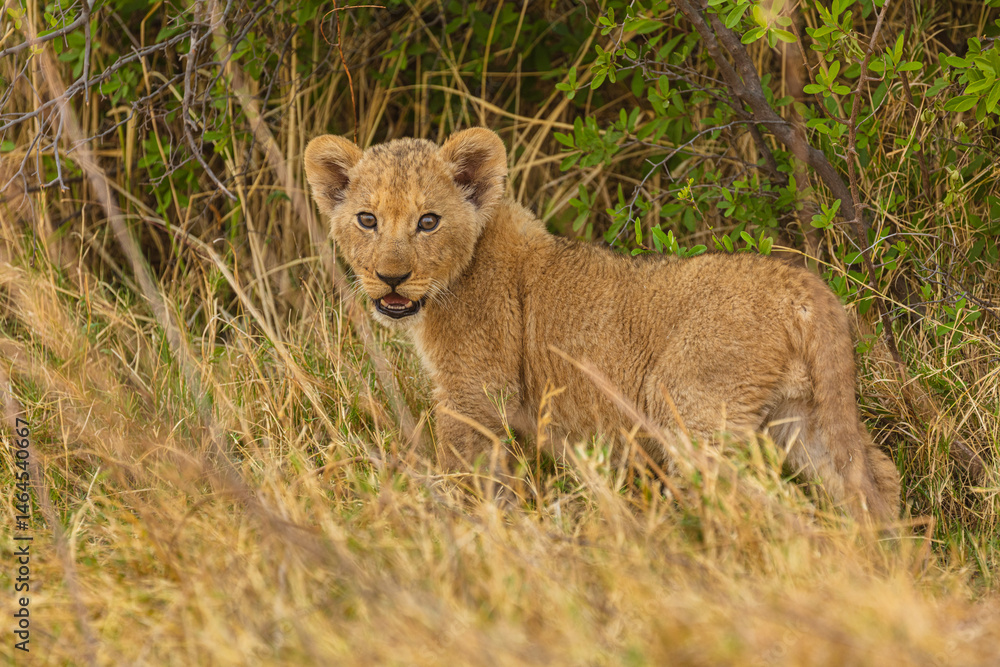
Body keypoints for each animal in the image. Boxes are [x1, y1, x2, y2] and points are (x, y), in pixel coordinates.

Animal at [303, 127, 901, 524]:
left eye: (428, 221)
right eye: (367, 220)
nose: (391, 278)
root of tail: (802, 286)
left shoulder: (474, 391)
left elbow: (467, 467)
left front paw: (466, 523)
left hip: (690, 406)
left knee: (749, 493)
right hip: (802, 414)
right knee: (874, 475)